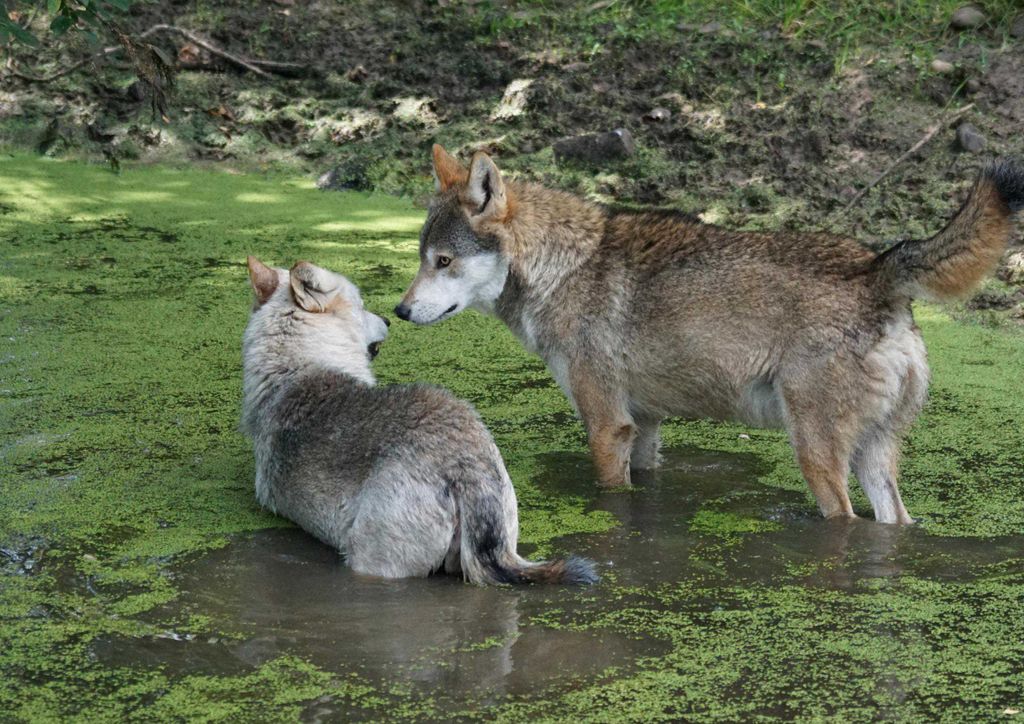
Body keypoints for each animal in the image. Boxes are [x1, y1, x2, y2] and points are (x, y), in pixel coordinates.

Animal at [395, 145, 1024, 524]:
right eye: (423, 258)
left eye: (444, 261)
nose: (399, 312)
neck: (565, 266)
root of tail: (876, 269)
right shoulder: (643, 427)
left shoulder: (606, 426)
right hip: (875, 461)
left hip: (817, 456)